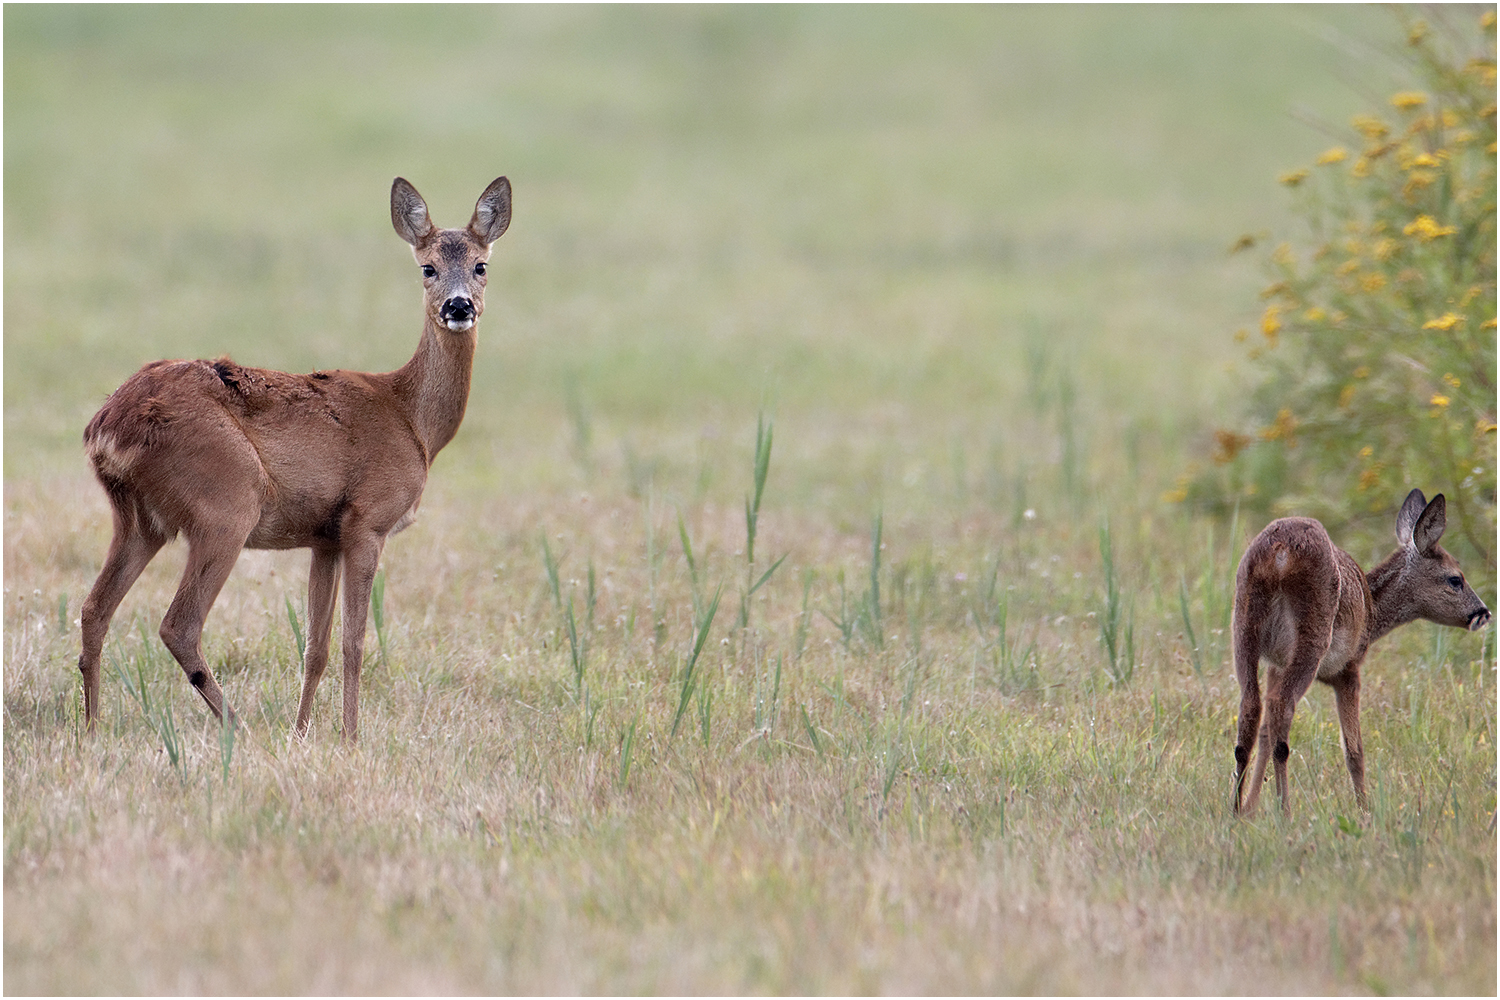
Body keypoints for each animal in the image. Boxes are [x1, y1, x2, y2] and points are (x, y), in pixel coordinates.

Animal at [77, 176, 516, 743]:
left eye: (482, 265)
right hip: (226, 503)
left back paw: (91, 727)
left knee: (94, 609)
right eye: (428, 268)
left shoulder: (324, 536)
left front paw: (302, 732)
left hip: (138, 518)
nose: (459, 306)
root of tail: (106, 425)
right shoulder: (367, 520)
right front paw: (351, 738)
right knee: (178, 624)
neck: (412, 418)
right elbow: (354, 644)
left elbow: (315, 646)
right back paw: (238, 727)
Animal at [1230, 488, 1488, 815]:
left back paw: (1235, 810)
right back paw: (1285, 811)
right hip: (1312, 634)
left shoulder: (1276, 663)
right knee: (1281, 707)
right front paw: (1365, 812)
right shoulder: (1349, 669)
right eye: (1456, 579)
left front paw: (1251, 808)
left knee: (1251, 709)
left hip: (1243, 626)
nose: (1482, 613)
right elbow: (1354, 750)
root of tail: (1280, 553)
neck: (1372, 613)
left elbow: (1264, 733)